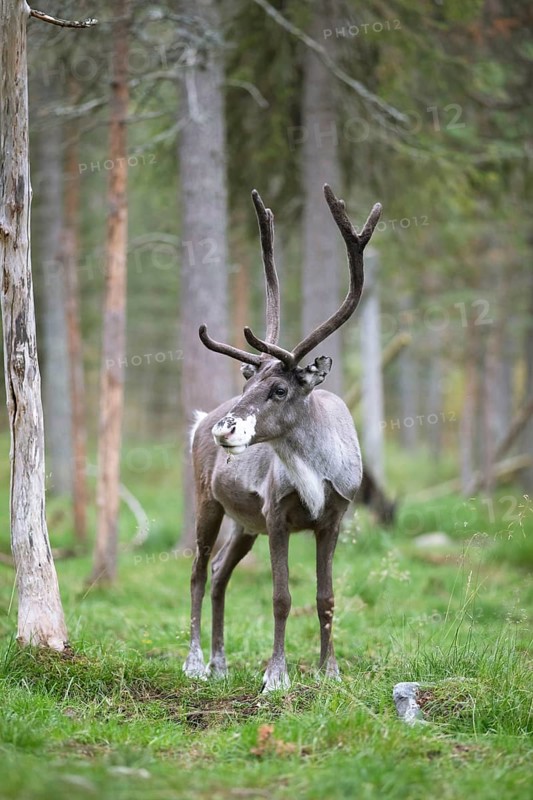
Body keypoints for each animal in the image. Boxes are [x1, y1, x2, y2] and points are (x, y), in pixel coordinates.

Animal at [183, 185, 382, 692]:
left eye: (278, 388)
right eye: (249, 383)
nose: (226, 427)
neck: (316, 471)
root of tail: (197, 421)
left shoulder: (333, 518)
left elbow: (325, 597)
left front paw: (330, 671)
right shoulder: (276, 516)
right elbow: (282, 597)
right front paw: (276, 675)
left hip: (244, 522)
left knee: (219, 573)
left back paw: (220, 664)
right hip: (209, 502)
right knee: (198, 571)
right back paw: (195, 662)